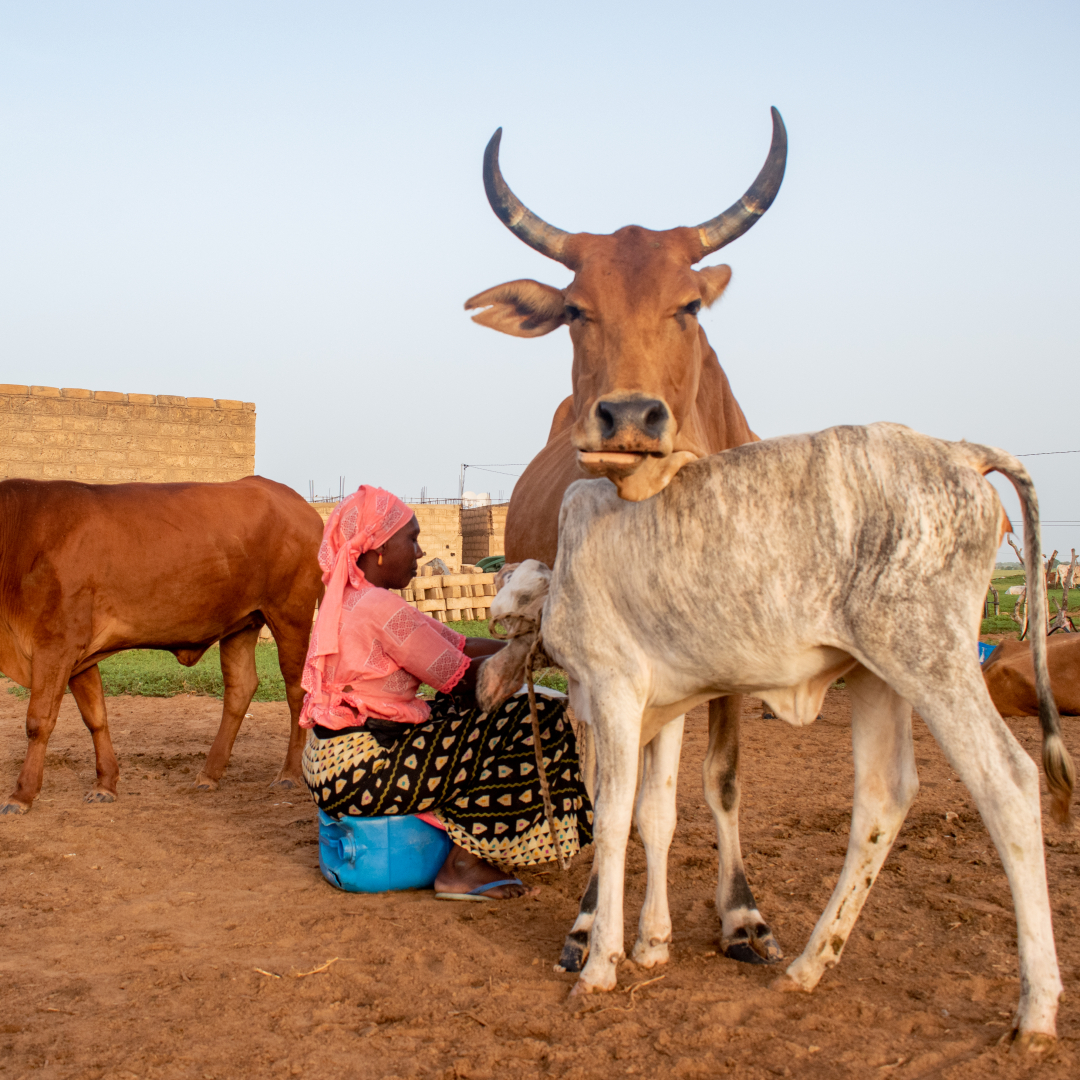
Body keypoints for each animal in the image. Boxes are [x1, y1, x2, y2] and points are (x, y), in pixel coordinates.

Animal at [0, 477, 319, 812]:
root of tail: (291, 498)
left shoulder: (57, 644)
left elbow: (38, 721)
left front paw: (21, 794)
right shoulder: (78, 654)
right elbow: (96, 717)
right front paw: (105, 784)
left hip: (290, 614)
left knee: (297, 692)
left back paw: (289, 773)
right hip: (242, 623)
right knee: (240, 689)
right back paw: (209, 774)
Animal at [466, 113, 794, 967]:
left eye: (689, 305)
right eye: (577, 310)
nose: (630, 418)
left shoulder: (727, 672)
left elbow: (716, 784)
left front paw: (741, 916)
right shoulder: (612, 669)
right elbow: (624, 799)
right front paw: (603, 928)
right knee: (595, 772)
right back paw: (591, 919)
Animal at [479, 423, 1071, 1054]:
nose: (484, 673)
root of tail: (961, 452)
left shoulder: (614, 690)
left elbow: (613, 820)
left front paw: (600, 963)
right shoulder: (659, 707)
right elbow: (655, 815)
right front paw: (652, 944)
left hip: (929, 656)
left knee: (1009, 782)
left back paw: (1036, 1010)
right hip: (876, 673)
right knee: (884, 796)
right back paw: (810, 964)